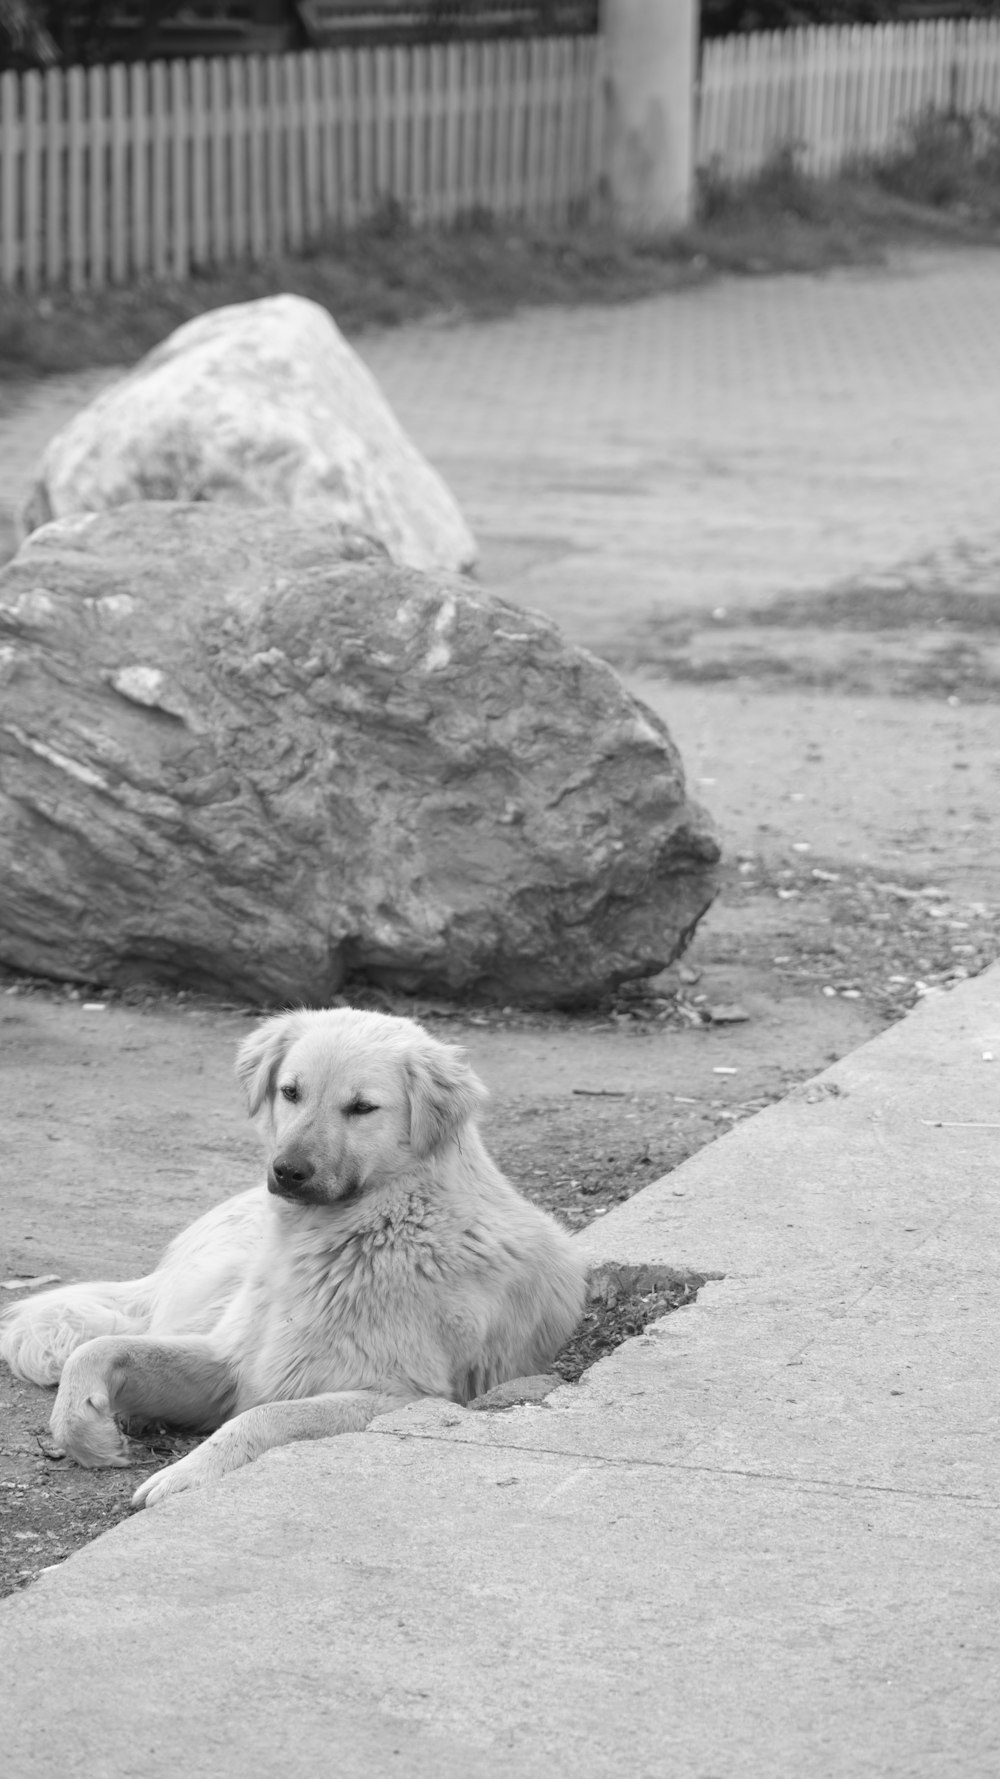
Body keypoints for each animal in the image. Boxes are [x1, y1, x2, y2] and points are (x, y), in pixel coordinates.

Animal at [1, 1010, 583, 1508]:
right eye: (291, 1092)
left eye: (361, 1107)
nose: (287, 1172)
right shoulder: (229, 1363)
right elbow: (95, 1351)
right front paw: (89, 1435)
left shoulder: (406, 1396)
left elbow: (262, 1418)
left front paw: (184, 1475)